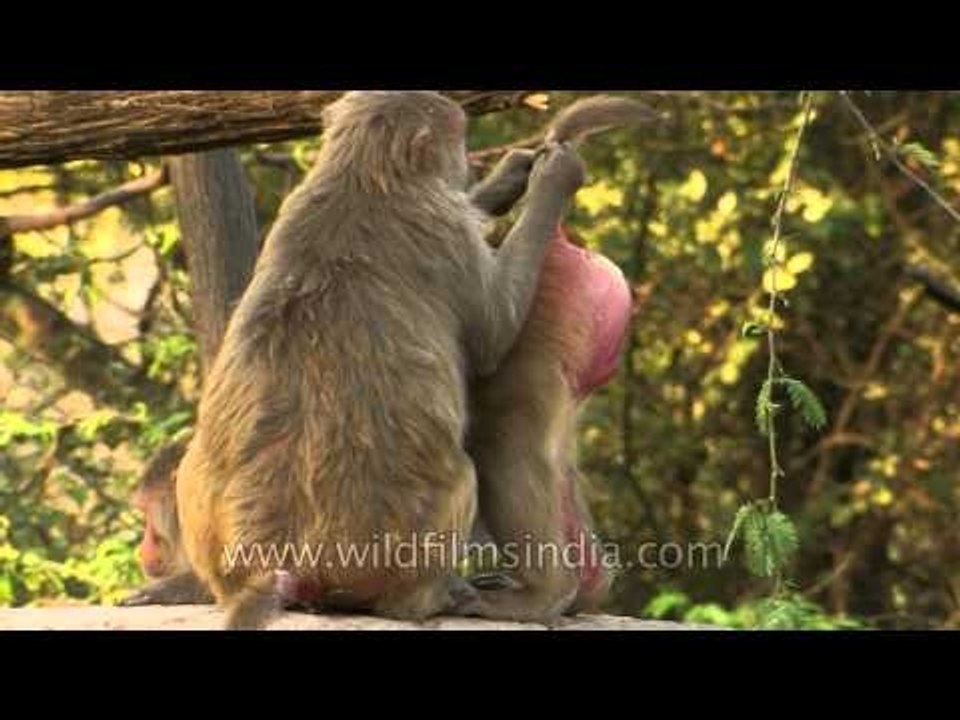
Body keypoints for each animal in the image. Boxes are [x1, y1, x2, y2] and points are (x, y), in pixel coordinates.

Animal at [172, 91, 586, 629]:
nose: (466, 168)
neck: (363, 172)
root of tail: (273, 563)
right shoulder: (443, 230)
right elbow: (496, 331)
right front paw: (551, 179)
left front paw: (507, 179)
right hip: (391, 555)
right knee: (462, 477)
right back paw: (431, 598)